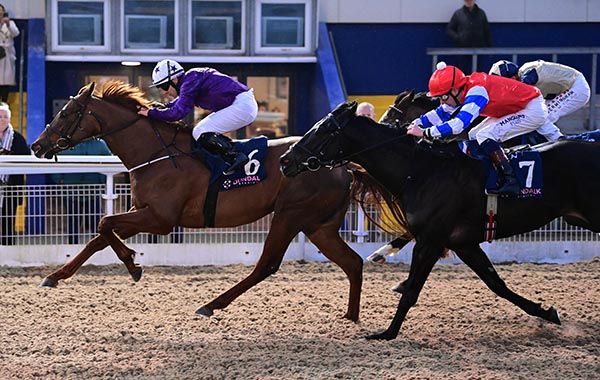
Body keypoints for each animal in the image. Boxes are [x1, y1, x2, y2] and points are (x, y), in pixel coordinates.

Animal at [30, 82, 364, 320]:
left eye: (66, 113)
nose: (37, 145)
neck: (156, 153)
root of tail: (343, 165)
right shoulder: (142, 211)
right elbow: (99, 237)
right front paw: (55, 276)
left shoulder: (161, 219)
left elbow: (104, 223)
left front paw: (133, 263)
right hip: (319, 225)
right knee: (353, 262)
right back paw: (351, 316)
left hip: (290, 215)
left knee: (267, 265)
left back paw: (210, 305)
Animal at [282, 100, 600, 338]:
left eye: (324, 129)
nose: (285, 160)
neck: (421, 170)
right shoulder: (464, 243)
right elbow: (497, 284)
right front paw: (547, 312)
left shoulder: (430, 241)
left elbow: (411, 290)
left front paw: (387, 333)